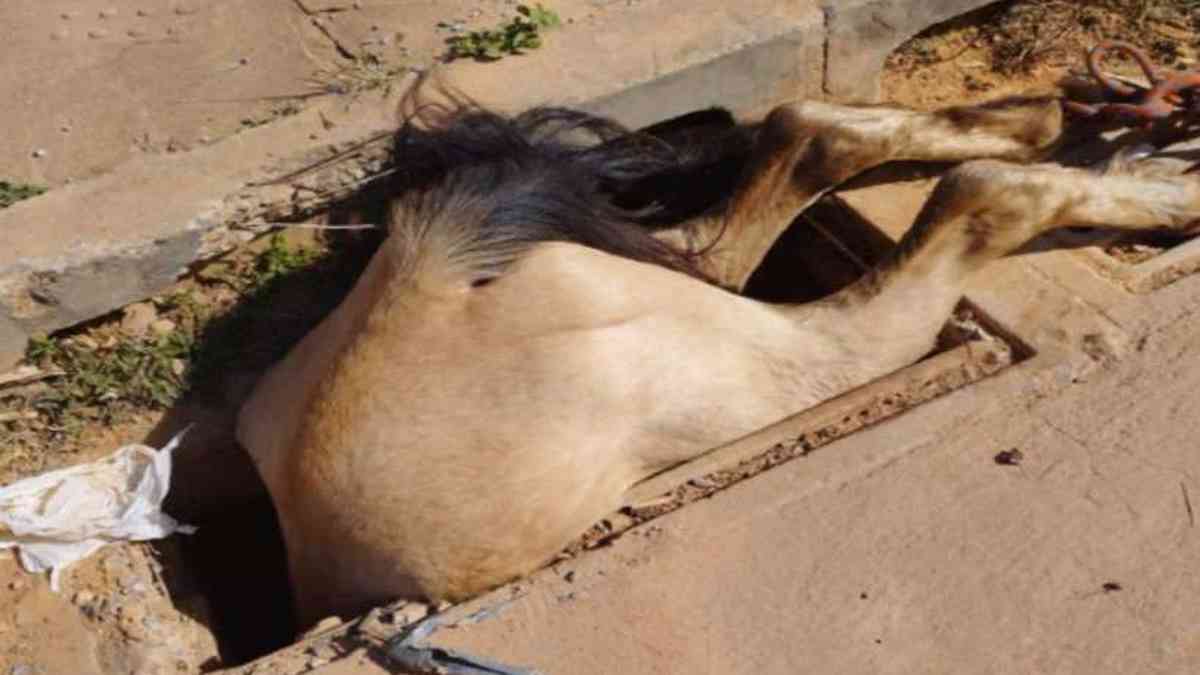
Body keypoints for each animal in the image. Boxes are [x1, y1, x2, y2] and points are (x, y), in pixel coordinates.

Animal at [234, 79, 1200, 624]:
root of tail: (433, 264)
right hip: (715, 320)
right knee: (817, 149)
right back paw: (1057, 133)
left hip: (749, 359)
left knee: (960, 197)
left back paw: (1146, 183)